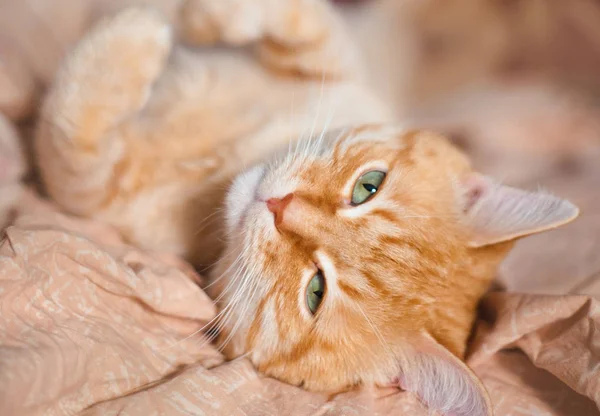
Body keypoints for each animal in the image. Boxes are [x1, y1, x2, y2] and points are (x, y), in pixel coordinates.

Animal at [35, 1, 580, 414]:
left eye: (315, 292)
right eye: (368, 187)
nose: (280, 205)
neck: (230, 160)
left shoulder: (102, 194)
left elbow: (75, 141)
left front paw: (132, 40)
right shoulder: (344, 73)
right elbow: (310, 27)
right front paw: (210, 15)